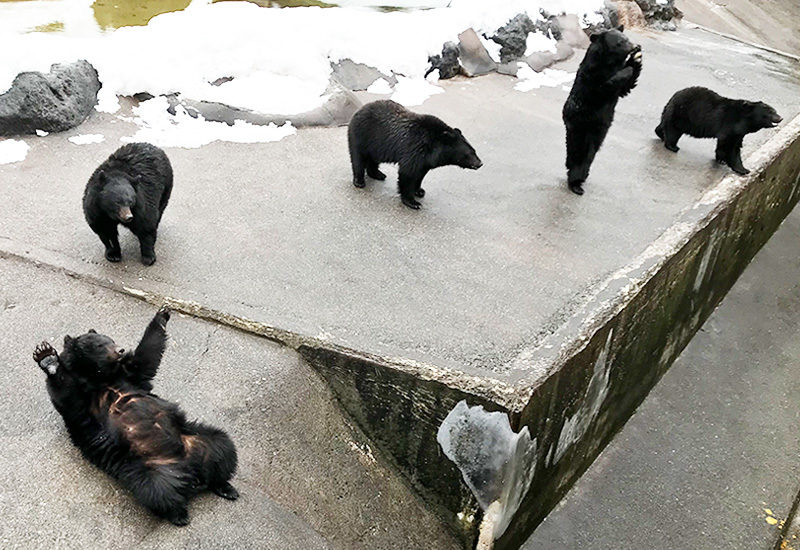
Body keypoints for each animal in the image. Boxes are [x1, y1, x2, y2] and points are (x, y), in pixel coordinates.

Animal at [32, 308, 238, 528]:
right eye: (100, 345)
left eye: (111, 339)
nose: (120, 349)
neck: (99, 378)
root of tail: (192, 469)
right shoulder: (82, 407)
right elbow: (66, 395)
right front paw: (46, 356)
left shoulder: (128, 375)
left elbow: (144, 359)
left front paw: (163, 315)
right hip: (145, 467)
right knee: (157, 489)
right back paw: (178, 514)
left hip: (197, 437)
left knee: (223, 448)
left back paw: (226, 487)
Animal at [346, 100, 482, 210]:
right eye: (469, 153)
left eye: (474, 150)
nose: (480, 163)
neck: (434, 145)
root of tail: (359, 110)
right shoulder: (415, 148)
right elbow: (408, 173)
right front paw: (412, 202)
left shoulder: (426, 160)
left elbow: (420, 174)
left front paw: (419, 191)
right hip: (362, 136)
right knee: (358, 158)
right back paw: (359, 181)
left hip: (376, 145)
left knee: (373, 159)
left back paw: (378, 174)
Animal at [564, 28, 644, 197]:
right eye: (620, 42)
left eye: (627, 38)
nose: (635, 46)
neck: (609, 63)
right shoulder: (591, 76)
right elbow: (602, 87)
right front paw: (628, 68)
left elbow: (626, 87)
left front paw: (636, 59)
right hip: (581, 124)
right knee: (579, 151)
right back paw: (576, 182)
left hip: (600, 130)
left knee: (591, 152)